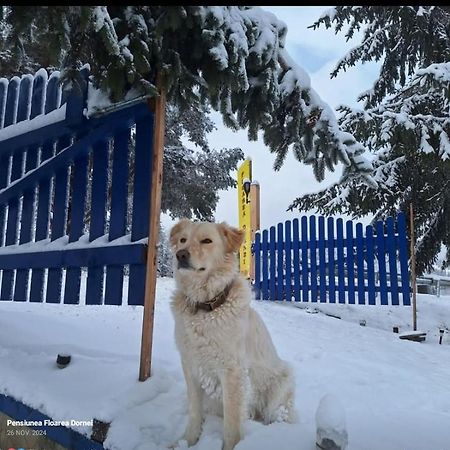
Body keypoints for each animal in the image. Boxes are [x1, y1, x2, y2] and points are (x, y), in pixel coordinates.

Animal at [169, 219, 296, 450]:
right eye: (182, 240)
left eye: (207, 240)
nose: (180, 255)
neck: (205, 308)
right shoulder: (190, 365)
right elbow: (194, 412)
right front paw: (187, 441)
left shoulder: (232, 371)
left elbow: (232, 423)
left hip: (282, 382)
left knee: (276, 413)